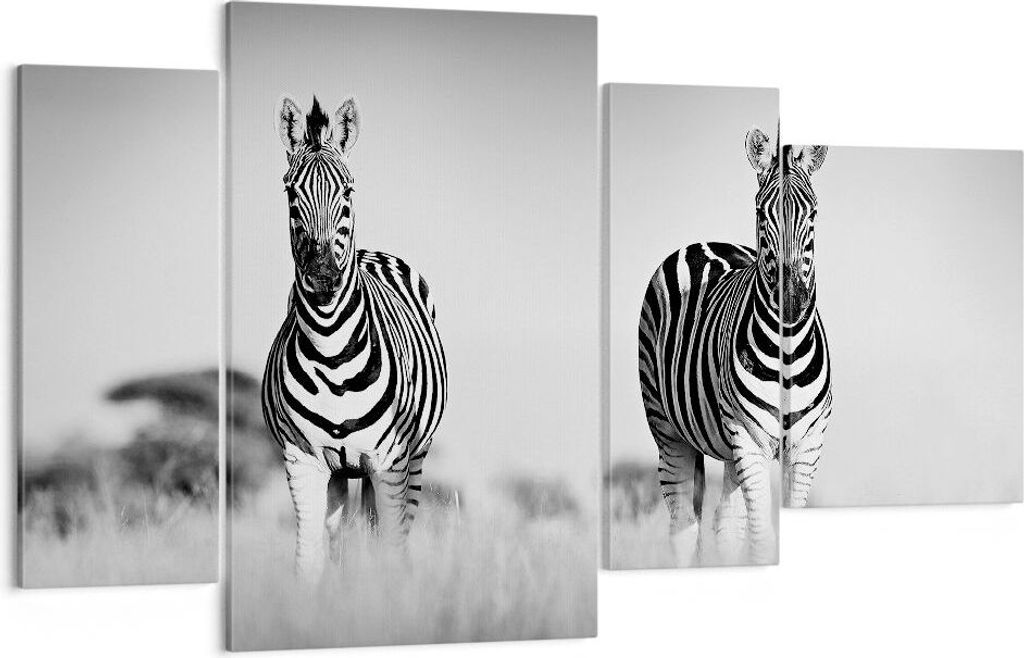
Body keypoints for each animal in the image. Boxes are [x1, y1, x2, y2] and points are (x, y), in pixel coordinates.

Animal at [262, 95, 448, 580]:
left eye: (347, 192)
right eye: (291, 193)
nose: (323, 275)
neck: (332, 353)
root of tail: (372, 251)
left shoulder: (390, 463)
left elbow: (390, 551)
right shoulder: (303, 461)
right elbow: (309, 561)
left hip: (413, 460)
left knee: (392, 536)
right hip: (342, 473)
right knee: (341, 539)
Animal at [638, 129, 830, 566]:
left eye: (812, 215)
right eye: (761, 214)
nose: (792, 300)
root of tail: (705, 242)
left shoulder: (807, 445)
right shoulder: (749, 438)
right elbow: (762, 540)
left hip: (728, 449)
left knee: (726, 524)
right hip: (668, 429)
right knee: (683, 524)